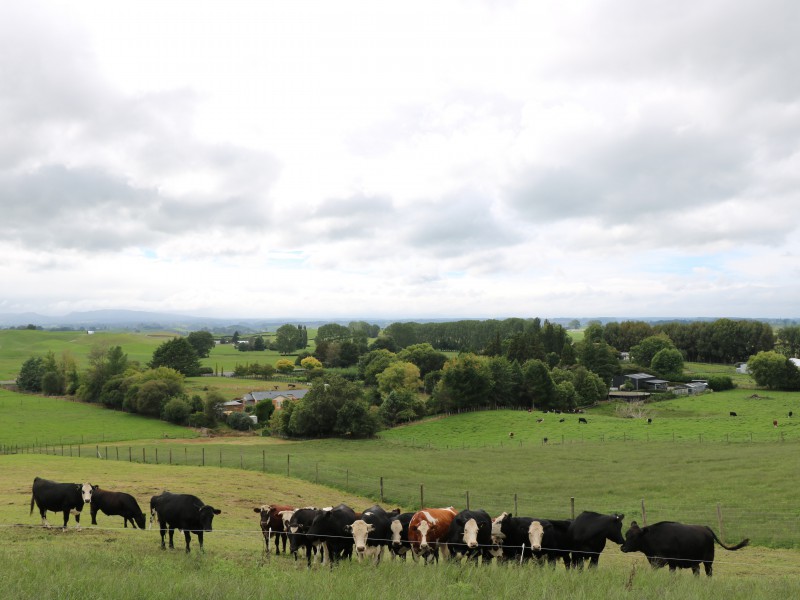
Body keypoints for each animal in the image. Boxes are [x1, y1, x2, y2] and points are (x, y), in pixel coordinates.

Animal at [620, 520, 752, 576]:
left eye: (633, 536)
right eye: (626, 534)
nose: (623, 547)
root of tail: (705, 528)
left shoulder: (668, 561)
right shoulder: (655, 561)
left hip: (708, 560)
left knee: (708, 573)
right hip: (695, 561)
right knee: (697, 571)